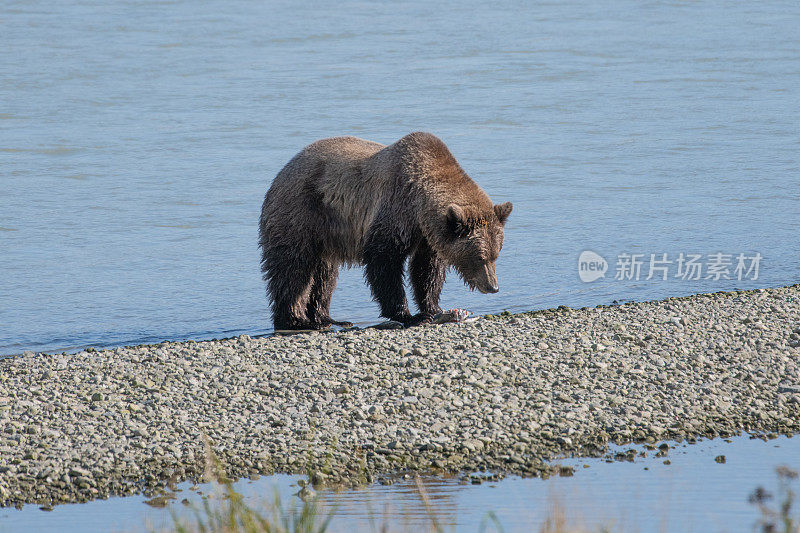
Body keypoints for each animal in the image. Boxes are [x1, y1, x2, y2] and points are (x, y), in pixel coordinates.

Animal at [260, 131, 516, 330]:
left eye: (496, 254)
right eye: (480, 257)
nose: (493, 287)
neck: (420, 206)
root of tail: (281, 172)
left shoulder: (428, 236)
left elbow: (427, 270)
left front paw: (434, 307)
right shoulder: (396, 207)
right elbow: (384, 260)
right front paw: (409, 315)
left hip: (327, 234)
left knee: (325, 274)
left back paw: (327, 318)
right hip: (301, 213)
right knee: (293, 267)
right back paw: (295, 320)